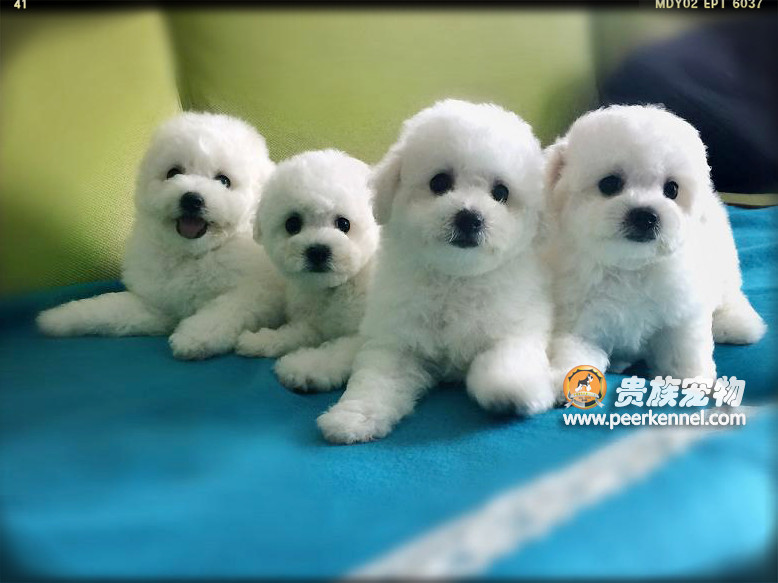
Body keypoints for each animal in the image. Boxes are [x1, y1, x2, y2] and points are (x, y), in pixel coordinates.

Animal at [37, 112, 286, 359]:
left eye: (224, 180)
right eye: (173, 172)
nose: (191, 199)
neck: (194, 254)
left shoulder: (258, 293)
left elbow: (227, 309)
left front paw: (196, 336)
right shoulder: (157, 306)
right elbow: (109, 308)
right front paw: (61, 317)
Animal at [235, 149, 379, 392]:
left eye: (344, 224)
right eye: (292, 224)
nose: (318, 251)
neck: (336, 287)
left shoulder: (365, 336)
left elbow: (337, 351)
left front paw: (303, 368)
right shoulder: (312, 323)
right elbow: (294, 332)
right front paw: (261, 340)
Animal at [316, 99, 555, 444]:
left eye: (501, 193)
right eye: (439, 183)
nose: (469, 217)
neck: (454, 279)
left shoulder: (519, 321)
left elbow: (507, 354)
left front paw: (511, 389)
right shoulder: (397, 341)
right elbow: (376, 380)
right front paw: (354, 417)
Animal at [544, 105, 766, 389]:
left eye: (672, 189)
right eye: (609, 184)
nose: (645, 216)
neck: (630, 268)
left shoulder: (681, 312)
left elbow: (683, 348)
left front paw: (693, 379)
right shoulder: (578, 320)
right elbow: (575, 350)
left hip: (723, 260)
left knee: (729, 292)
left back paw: (738, 323)